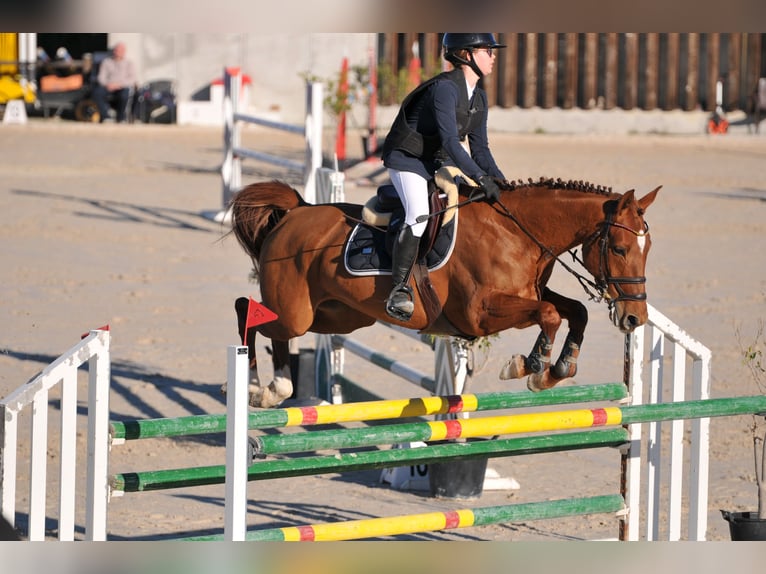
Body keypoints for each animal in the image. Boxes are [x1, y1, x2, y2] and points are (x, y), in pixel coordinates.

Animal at [226, 171, 660, 410]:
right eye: (620, 249)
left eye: (648, 248)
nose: (635, 318)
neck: (519, 232)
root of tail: (296, 212)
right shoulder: (480, 313)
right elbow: (550, 315)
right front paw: (529, 365)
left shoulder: (531, 293)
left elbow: (573, 312)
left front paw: (557, 369)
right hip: (296, 312)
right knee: (251, 313)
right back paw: (260, 388)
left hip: (340, 316)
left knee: (270, 325)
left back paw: (271, 388)